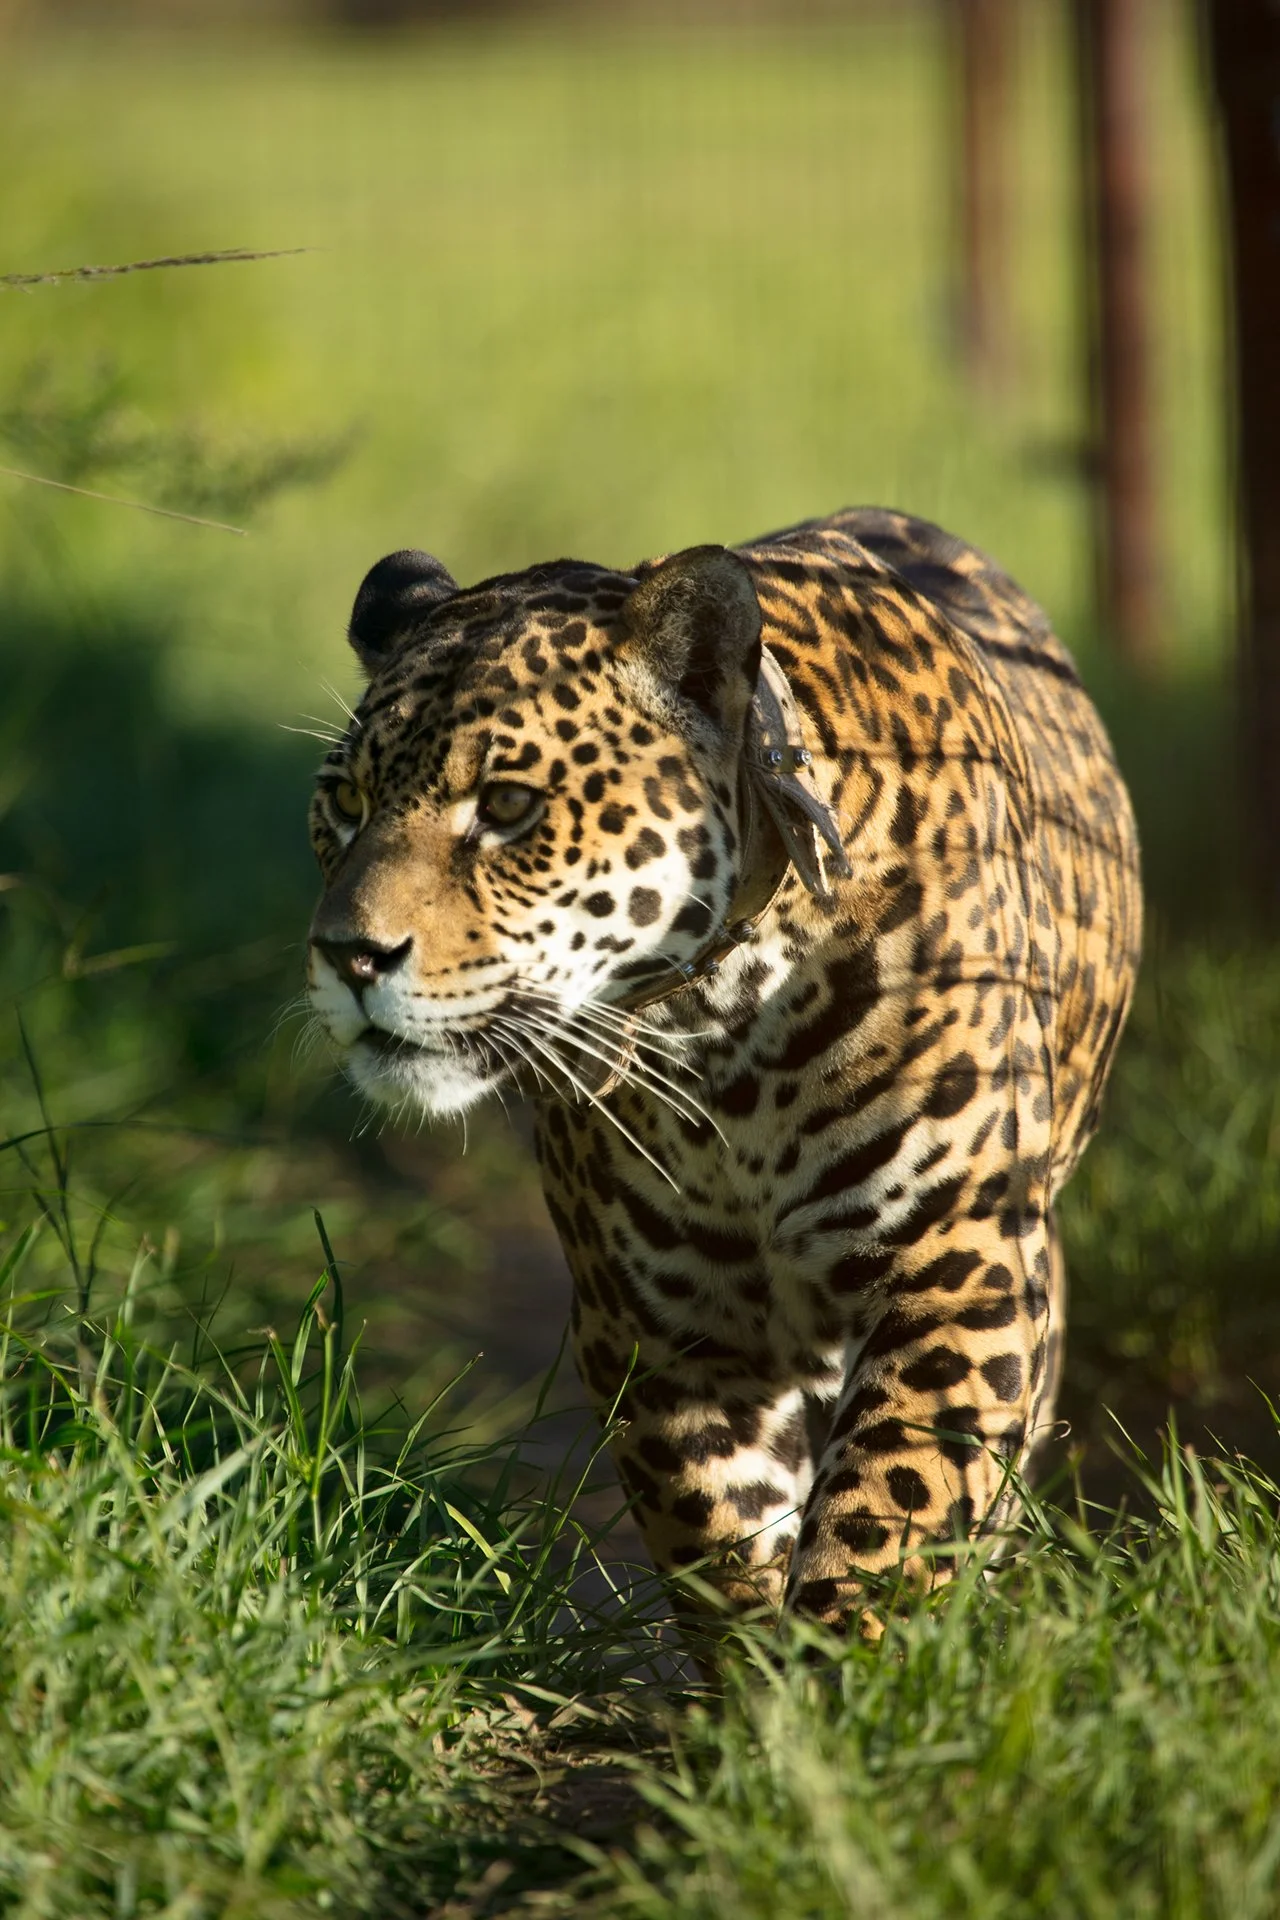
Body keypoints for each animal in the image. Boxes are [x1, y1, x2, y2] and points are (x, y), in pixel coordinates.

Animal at [305, 506, 1141, 1632]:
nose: (348, 955)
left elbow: (889, 1518)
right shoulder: (662, 1329)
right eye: (343, 803)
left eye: (509, 805)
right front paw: (761, 1660)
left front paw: (847, 1665)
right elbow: (718, 1536)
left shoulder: (954, 1265)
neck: (724, 1040)